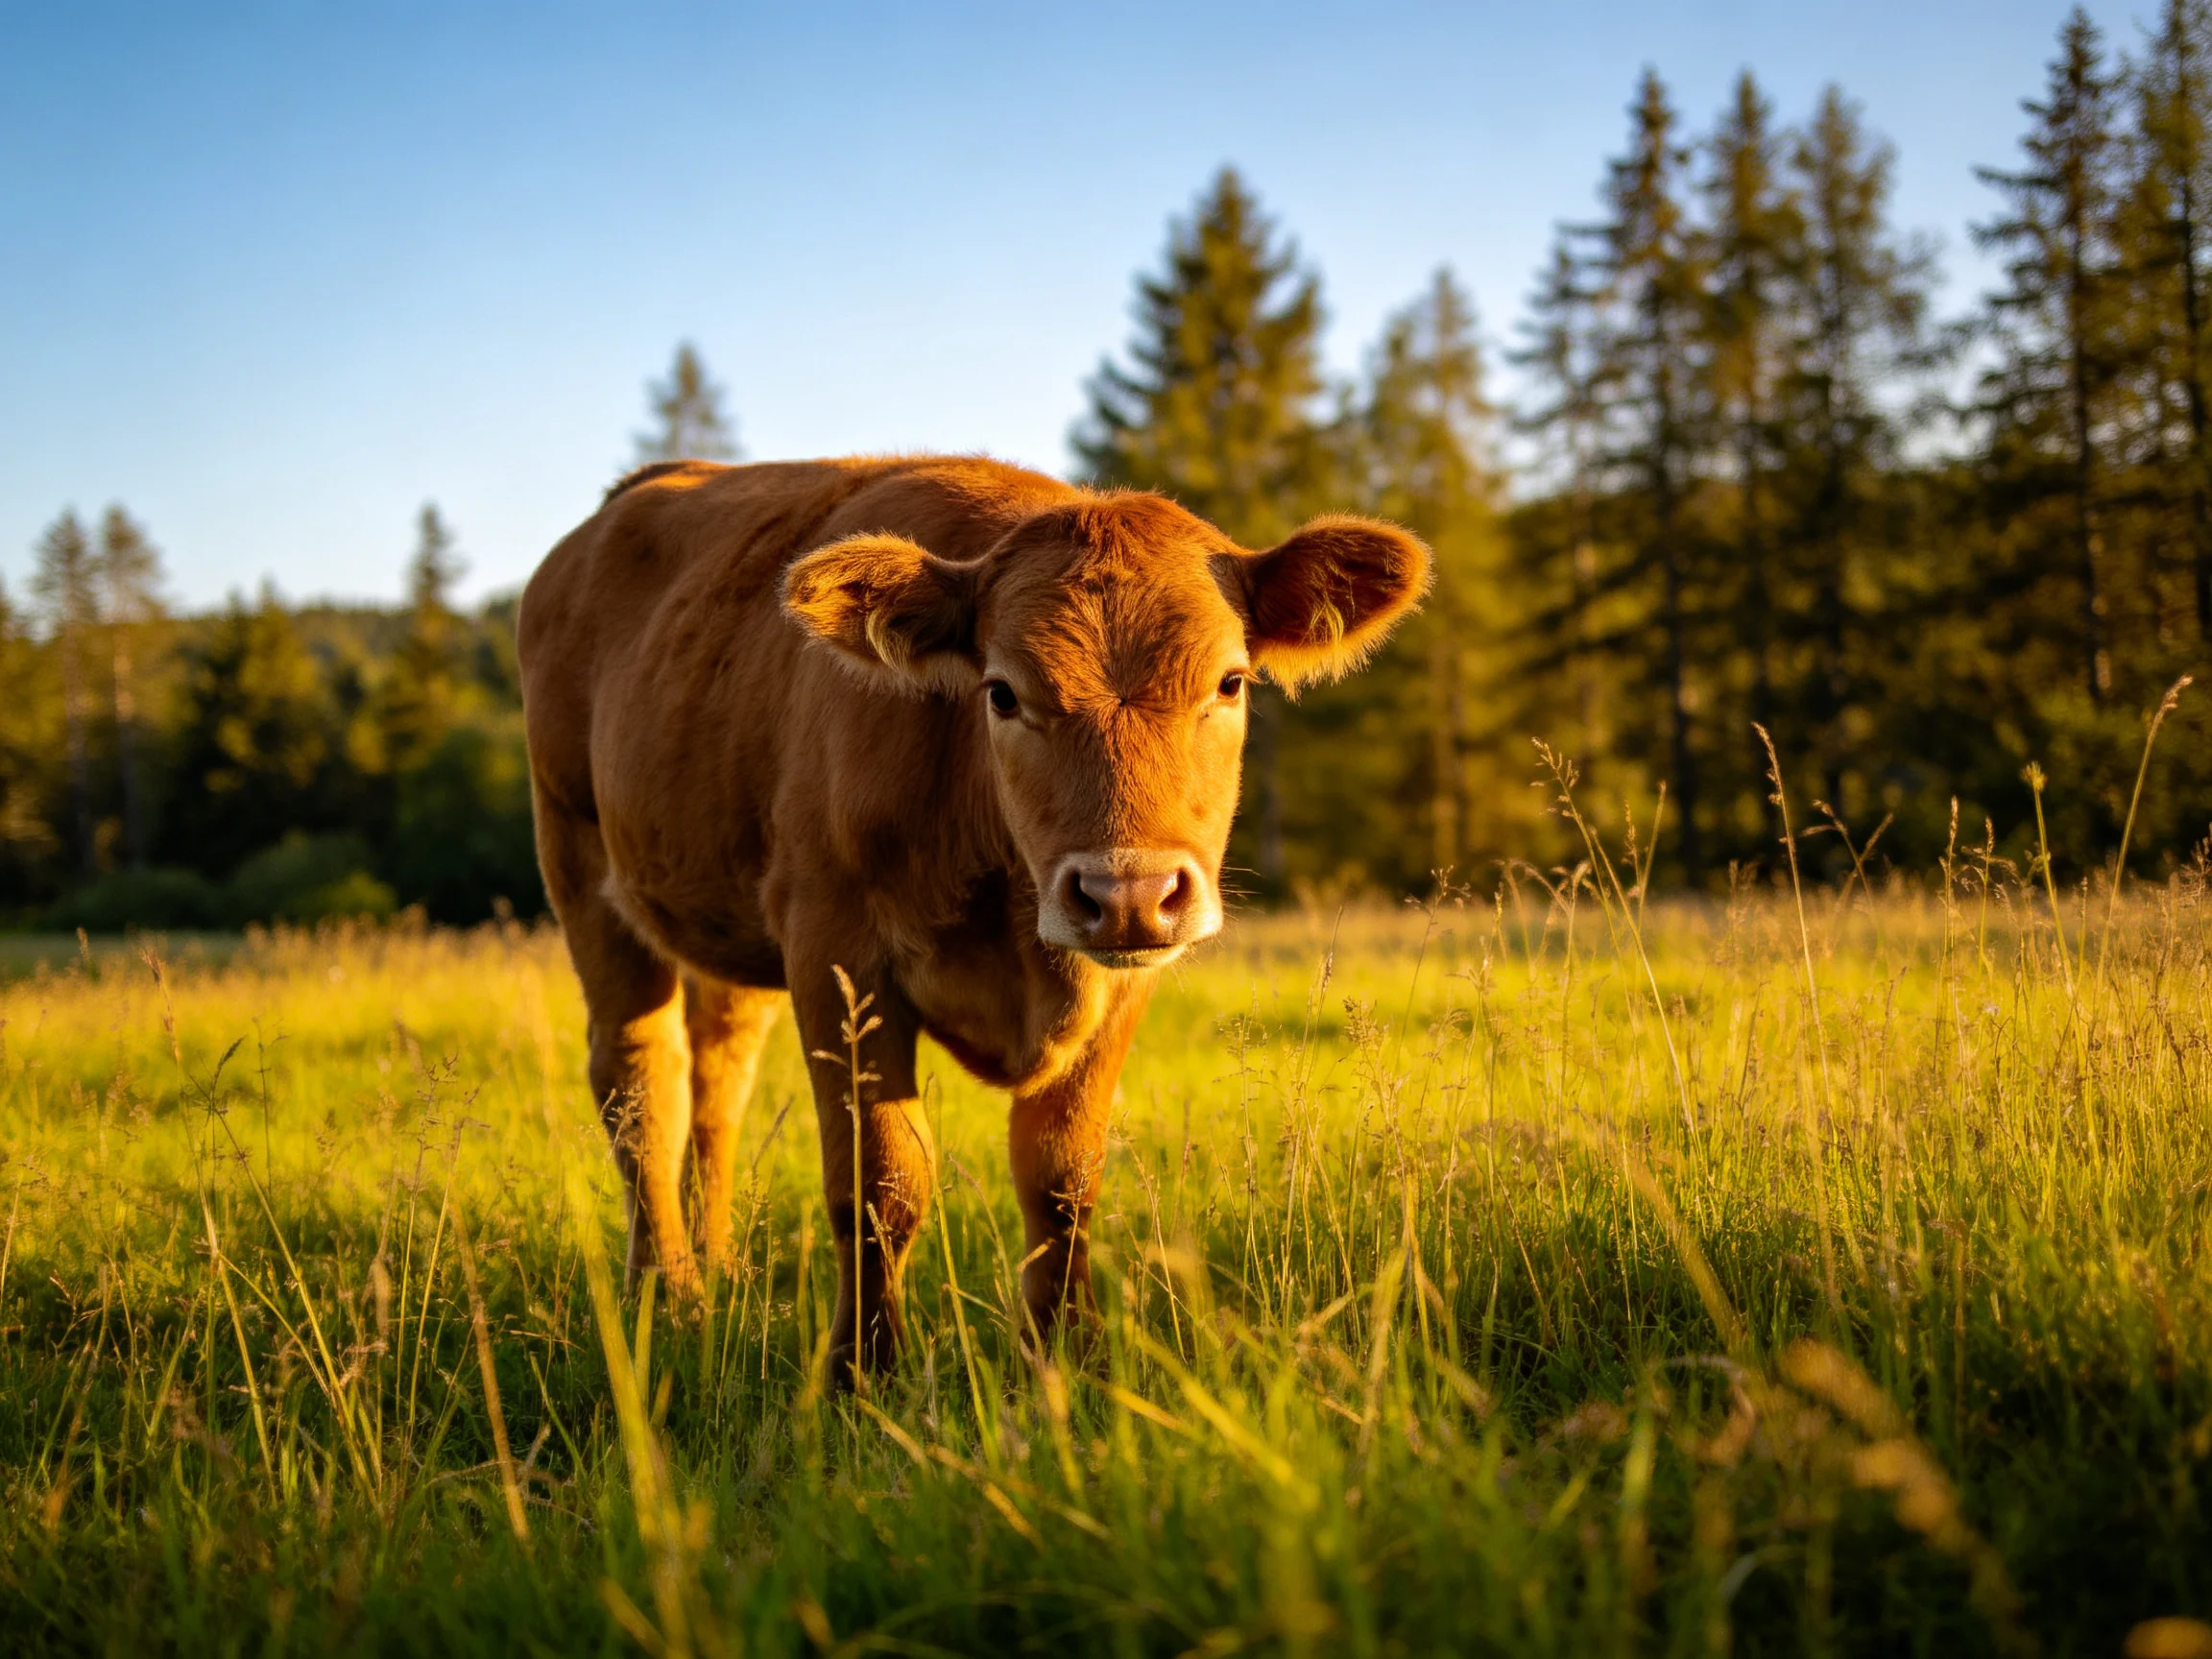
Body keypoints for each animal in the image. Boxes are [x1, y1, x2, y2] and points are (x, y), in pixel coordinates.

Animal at [517, 455, 1428, 1382]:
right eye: (1002, 693)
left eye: (1231, 682)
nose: (1127, 893)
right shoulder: (834, 946)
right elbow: (879, 1183)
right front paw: (863, 1374)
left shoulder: (1120, 989)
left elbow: (1062, 1180)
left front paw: (1065, 1360)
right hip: (579, 859)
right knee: (639, 1083)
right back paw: (668, 1292)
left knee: (716, 1080)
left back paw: (720, 1266)